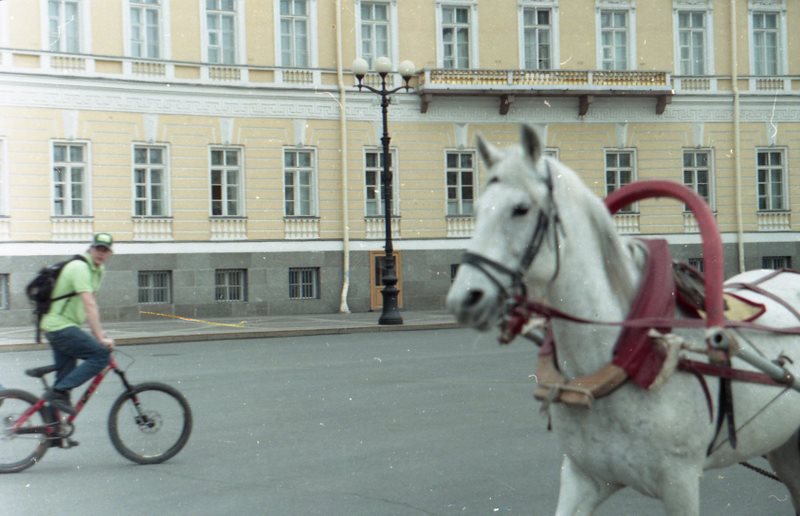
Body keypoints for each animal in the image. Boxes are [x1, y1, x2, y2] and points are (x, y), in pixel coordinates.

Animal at [446, 126, 800, 516]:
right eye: (476, 208)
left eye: (520, 209)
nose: (463, 298)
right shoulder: (583, 476)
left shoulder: (680, 484)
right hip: (783, 446)